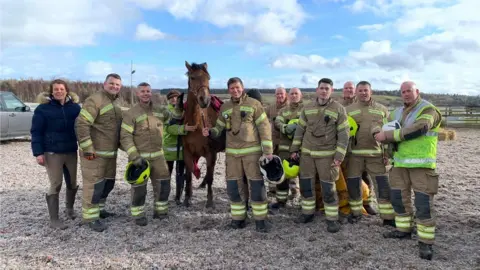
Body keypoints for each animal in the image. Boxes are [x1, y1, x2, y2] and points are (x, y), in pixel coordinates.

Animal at [176, 61, 227, 208]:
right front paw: (187, 198)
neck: (197, 123)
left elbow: (211, 178)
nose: (204, 100)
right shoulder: (187, 153)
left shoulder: (211, 154)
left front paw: (210, 201)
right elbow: (188, 176)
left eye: (208, 78)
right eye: (192, 78)